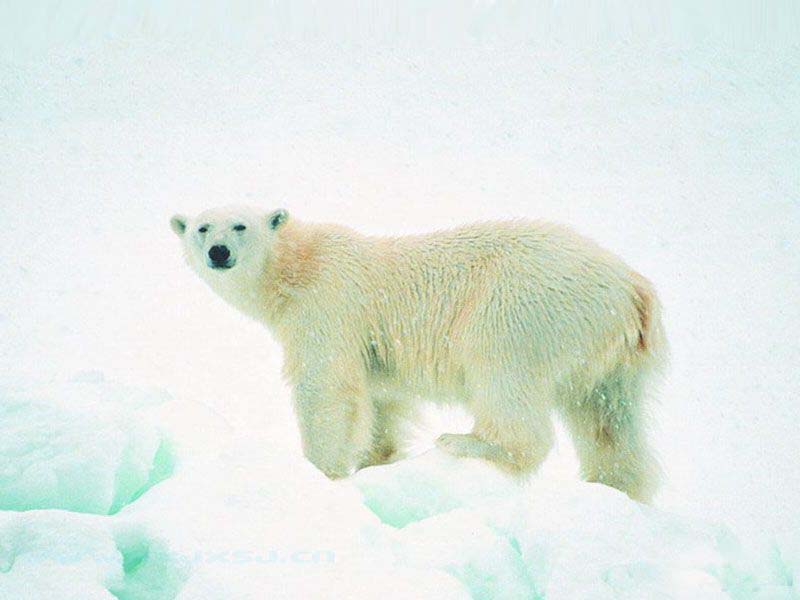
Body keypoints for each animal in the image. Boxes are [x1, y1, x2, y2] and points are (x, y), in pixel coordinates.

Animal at [170, 206, 668, 502]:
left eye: (240, 225)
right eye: (200, 227)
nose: (218, 251)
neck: (297, 265)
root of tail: (631, 286)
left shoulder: (327, 306)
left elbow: (325, 388)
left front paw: (320, 471)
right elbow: (382, 402)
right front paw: (376, 460)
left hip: (524, 306)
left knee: (501, 372)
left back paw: (466, 441)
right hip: (611, 352)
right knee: (609, 420)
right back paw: (615, 486)